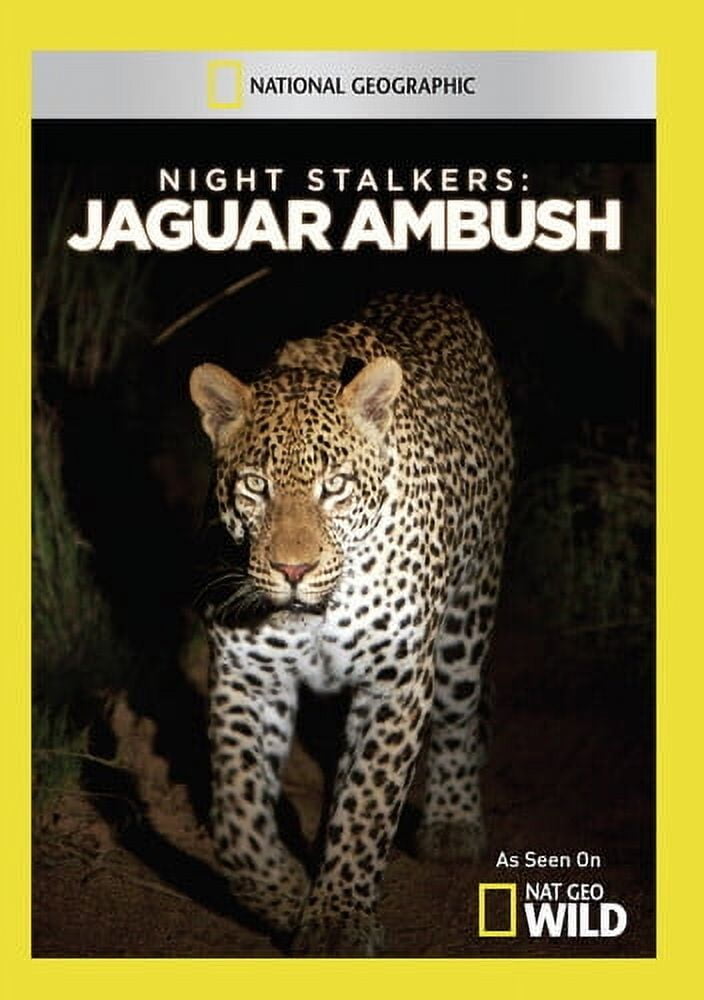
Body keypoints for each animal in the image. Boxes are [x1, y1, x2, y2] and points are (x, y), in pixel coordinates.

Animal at [189, 291, 513, 956]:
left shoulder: (397, 682)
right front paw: (283, 893)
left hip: (469, 614)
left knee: (463, 709)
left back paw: (453, 821)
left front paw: (338, 919)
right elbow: (238, 813)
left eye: (334, 486)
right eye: (255, 486)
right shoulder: (245, 678)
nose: (292, 568)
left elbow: (368, 803)